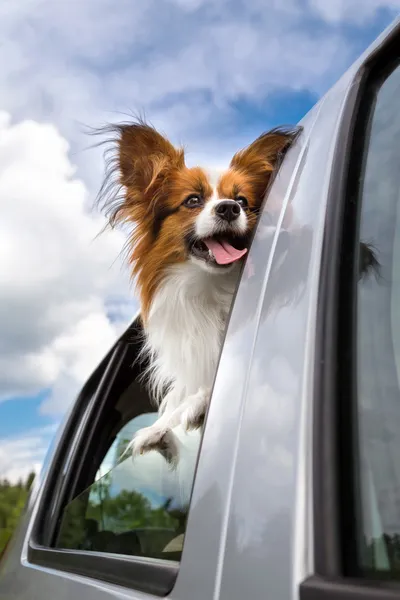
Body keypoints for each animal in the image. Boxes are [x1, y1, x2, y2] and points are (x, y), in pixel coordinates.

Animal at [98, 118, 298, 464]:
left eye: (242, 201)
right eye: (192, 200)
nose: (229, 208)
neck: (211, 287)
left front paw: (198, 402)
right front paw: (158, 427)